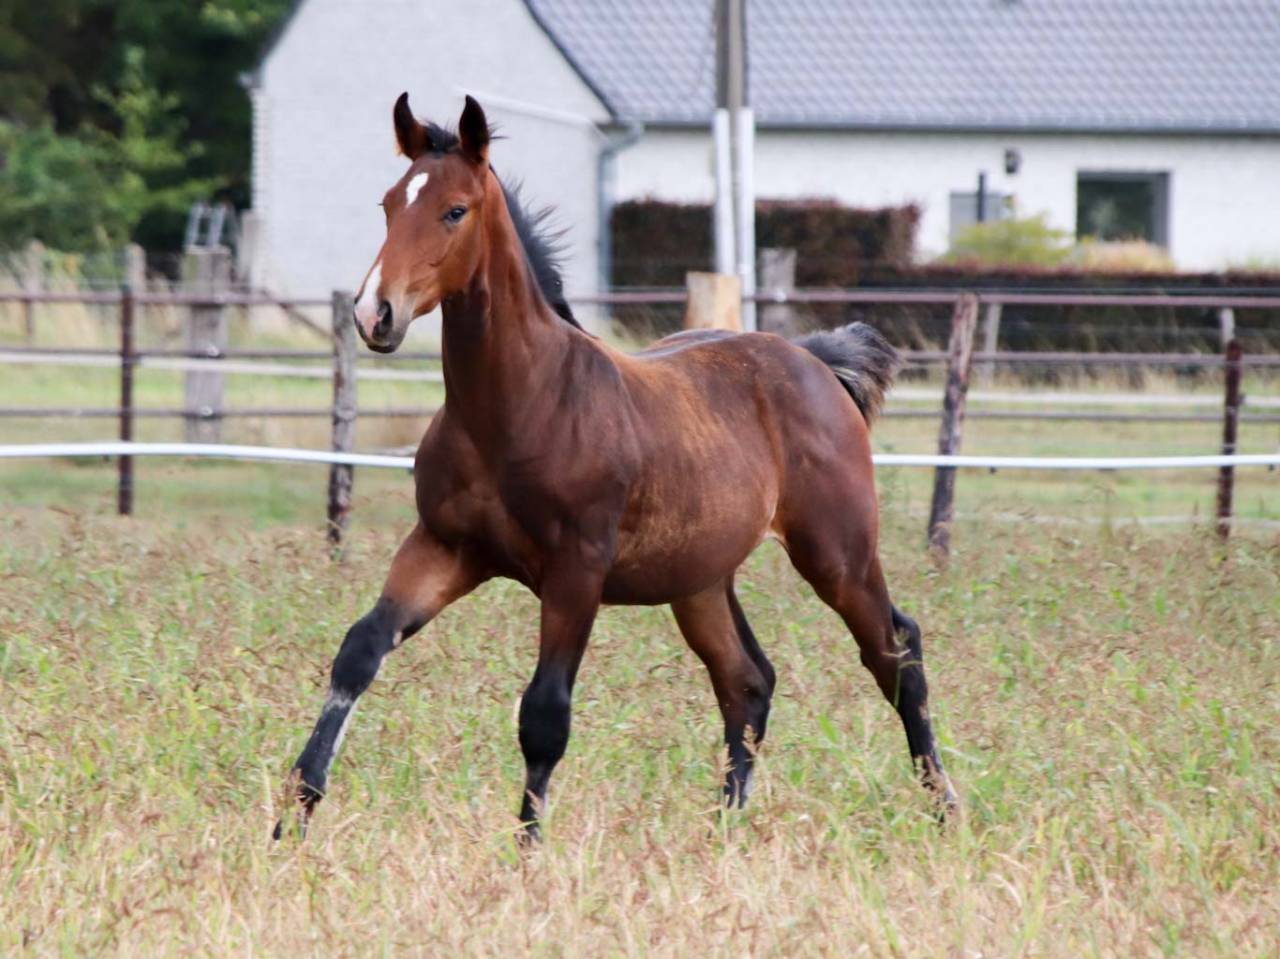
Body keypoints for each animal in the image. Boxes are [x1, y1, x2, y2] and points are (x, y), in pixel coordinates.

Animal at [275, 94, 958, 842]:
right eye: (390, 203)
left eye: (455, 210)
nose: (376, 313)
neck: (523, 405)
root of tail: (815, 360)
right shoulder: (444, 547)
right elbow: (360, 650)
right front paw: (291, 819)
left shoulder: (577, 570)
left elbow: (545, 715)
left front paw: (527, 852)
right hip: (699, 579)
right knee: (747, 681)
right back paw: (722, 833)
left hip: (837, 553)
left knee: (897, 654)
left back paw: (947, 809)